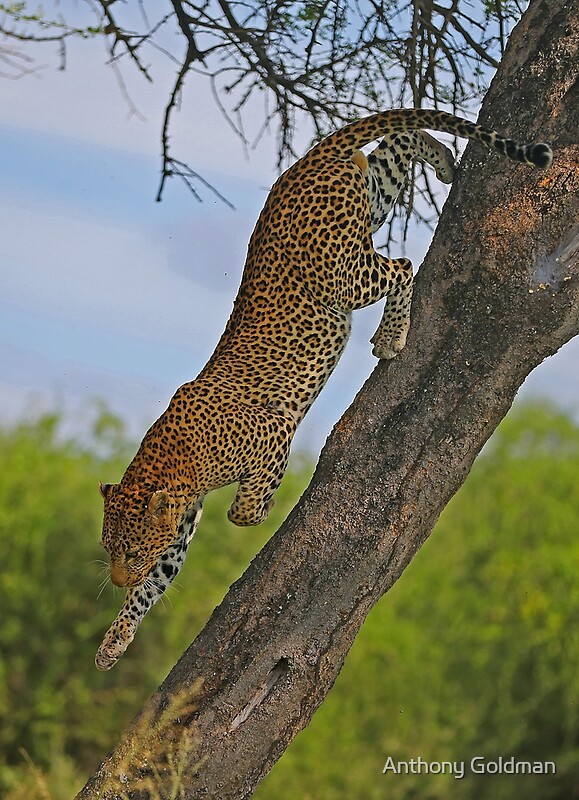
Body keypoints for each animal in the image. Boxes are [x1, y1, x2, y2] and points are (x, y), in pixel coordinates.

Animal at [95, 108, 552, 669]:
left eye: (130, 551)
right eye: (110, 552)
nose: (116, 580)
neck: (169, 468)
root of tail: (303, 162)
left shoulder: (271, 434)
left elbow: (242, 513)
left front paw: (262, 509)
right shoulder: (182, 521)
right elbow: (158, 581)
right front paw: (115, 640)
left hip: (343, 273)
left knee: (401, 266)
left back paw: (392, 335)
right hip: (364, 207)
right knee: (396, 150)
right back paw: (442, 160)